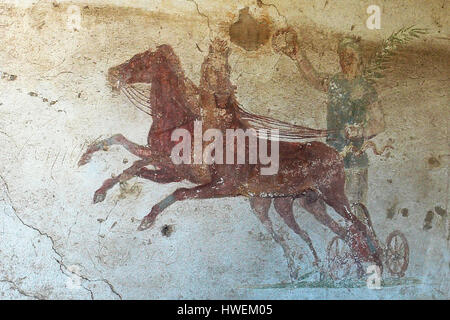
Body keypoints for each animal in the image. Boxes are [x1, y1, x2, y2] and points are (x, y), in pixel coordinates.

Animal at [79, 38, 382, 278]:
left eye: (140, 60)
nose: (113, 73)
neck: (180, 124)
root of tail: (336, 154)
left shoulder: (212, 183)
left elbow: (171, 188)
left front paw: (146, 218)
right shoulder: (168, 166)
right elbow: (125, 150)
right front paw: (93, 171)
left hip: (333, 195)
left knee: (357, 225)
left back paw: (375, 265)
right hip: (308, 203)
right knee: (339, 231)